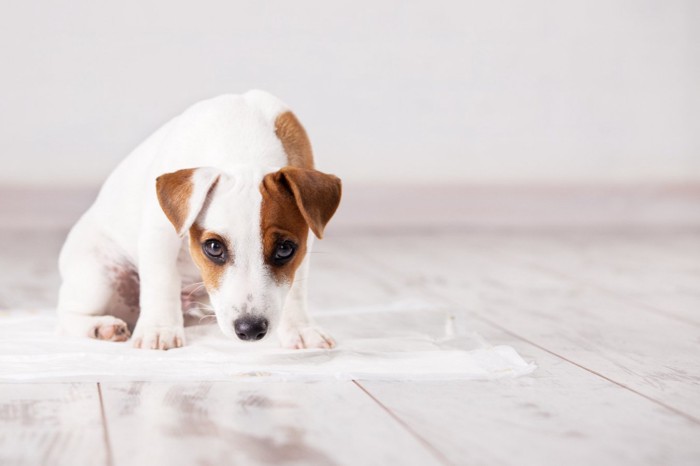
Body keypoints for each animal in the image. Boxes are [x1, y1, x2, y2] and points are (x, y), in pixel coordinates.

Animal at [56, 90, 340, 350]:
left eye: (284, 249)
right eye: (213, 247)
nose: (250, 330)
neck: (243, 148)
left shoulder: (305, 242)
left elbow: (295, 291)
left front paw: (300, 329)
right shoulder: (160, 231)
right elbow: (161, 280)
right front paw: (159, 330)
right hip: (98, 276)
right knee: (66, 313)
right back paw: (100, 326)